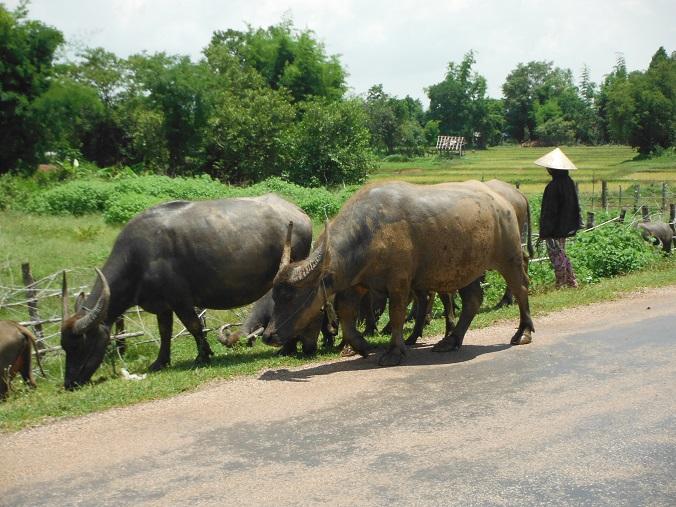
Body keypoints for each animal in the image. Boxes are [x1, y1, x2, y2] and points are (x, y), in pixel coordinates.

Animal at [59, 194, 312, 388]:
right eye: (64, 346)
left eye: (80, 344)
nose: (70, 383)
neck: (139, 259)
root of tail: (300, 213)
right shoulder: (163, 305)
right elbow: (165, 332)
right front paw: (160, 362)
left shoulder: (180, 300)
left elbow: (194, 327)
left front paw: (203, 355)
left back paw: (287, 348)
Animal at [264, 181, 532, 368]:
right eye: (275, 296)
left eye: (291, 297)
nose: (269, 336)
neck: (370, 232)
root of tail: (504, 202)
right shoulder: (356, 284)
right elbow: (347, 316)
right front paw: (361, 346)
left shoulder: (399, 284)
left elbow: (396, 315)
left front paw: (394, 352)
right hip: (467, 269)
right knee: (473, 299)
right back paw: (451, 340)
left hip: (509, 258)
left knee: (521, 289)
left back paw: (523, 333)